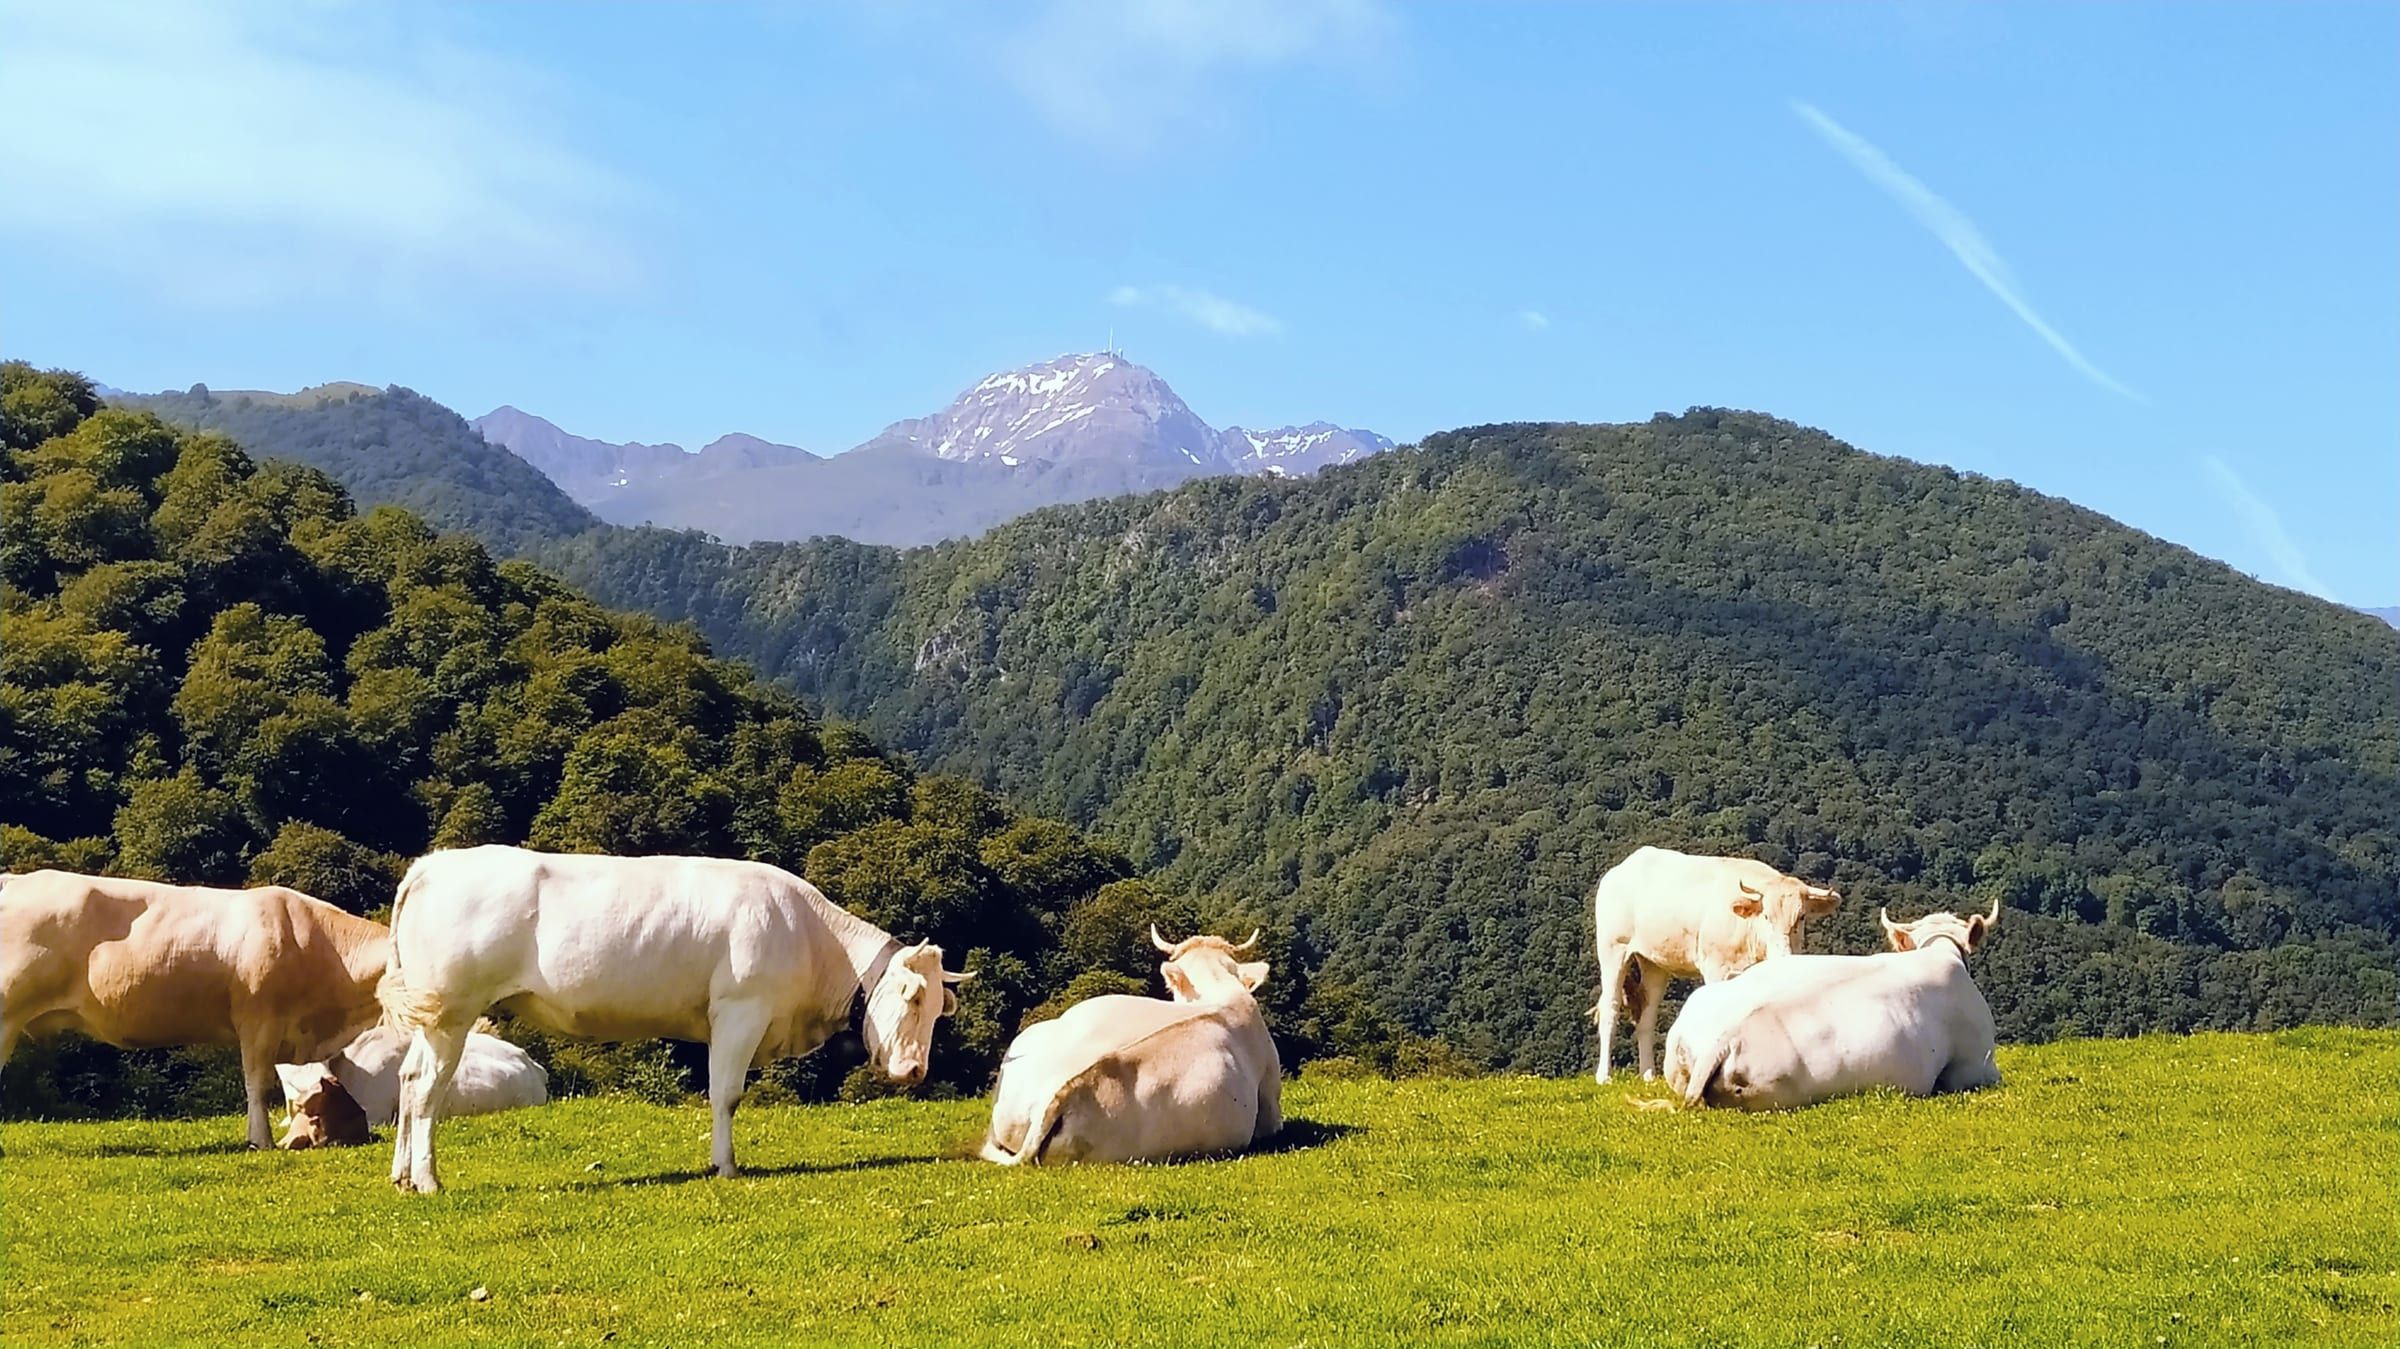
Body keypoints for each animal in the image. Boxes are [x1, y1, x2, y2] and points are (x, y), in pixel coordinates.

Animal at [379, 845, 970, 1193]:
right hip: (453, 1010)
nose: (915, 1071)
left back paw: (402, 1175)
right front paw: (725, 1165)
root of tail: (435, 862)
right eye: (914, 998)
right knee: (430, 1089)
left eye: (940, 1008)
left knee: (409, 1077)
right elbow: (726, 1095)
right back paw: (428, 1180)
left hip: (432, 1016)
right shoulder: (740, 1009)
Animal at [1590, 846, 1840, 1083]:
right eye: (1766, 916)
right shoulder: (1715, 967)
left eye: (1801, 917)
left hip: (1653, 963)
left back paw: (1648, 1074)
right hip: (1613, 948)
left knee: (1646, 1016)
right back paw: (1604, 1076)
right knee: (1610, 1007)